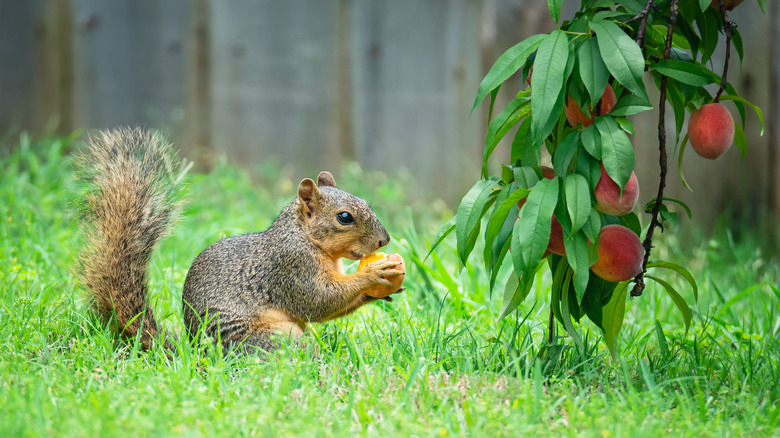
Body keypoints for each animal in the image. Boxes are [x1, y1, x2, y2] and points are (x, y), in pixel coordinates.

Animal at [74, 128, 406, 354]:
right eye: (344, 217)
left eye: (366, 202)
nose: (384, 241)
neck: (305, 237)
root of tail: (199, 356)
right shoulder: (291, 266)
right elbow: (317, 301)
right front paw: (373, 274)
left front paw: (380, 292)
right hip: (274, 338)